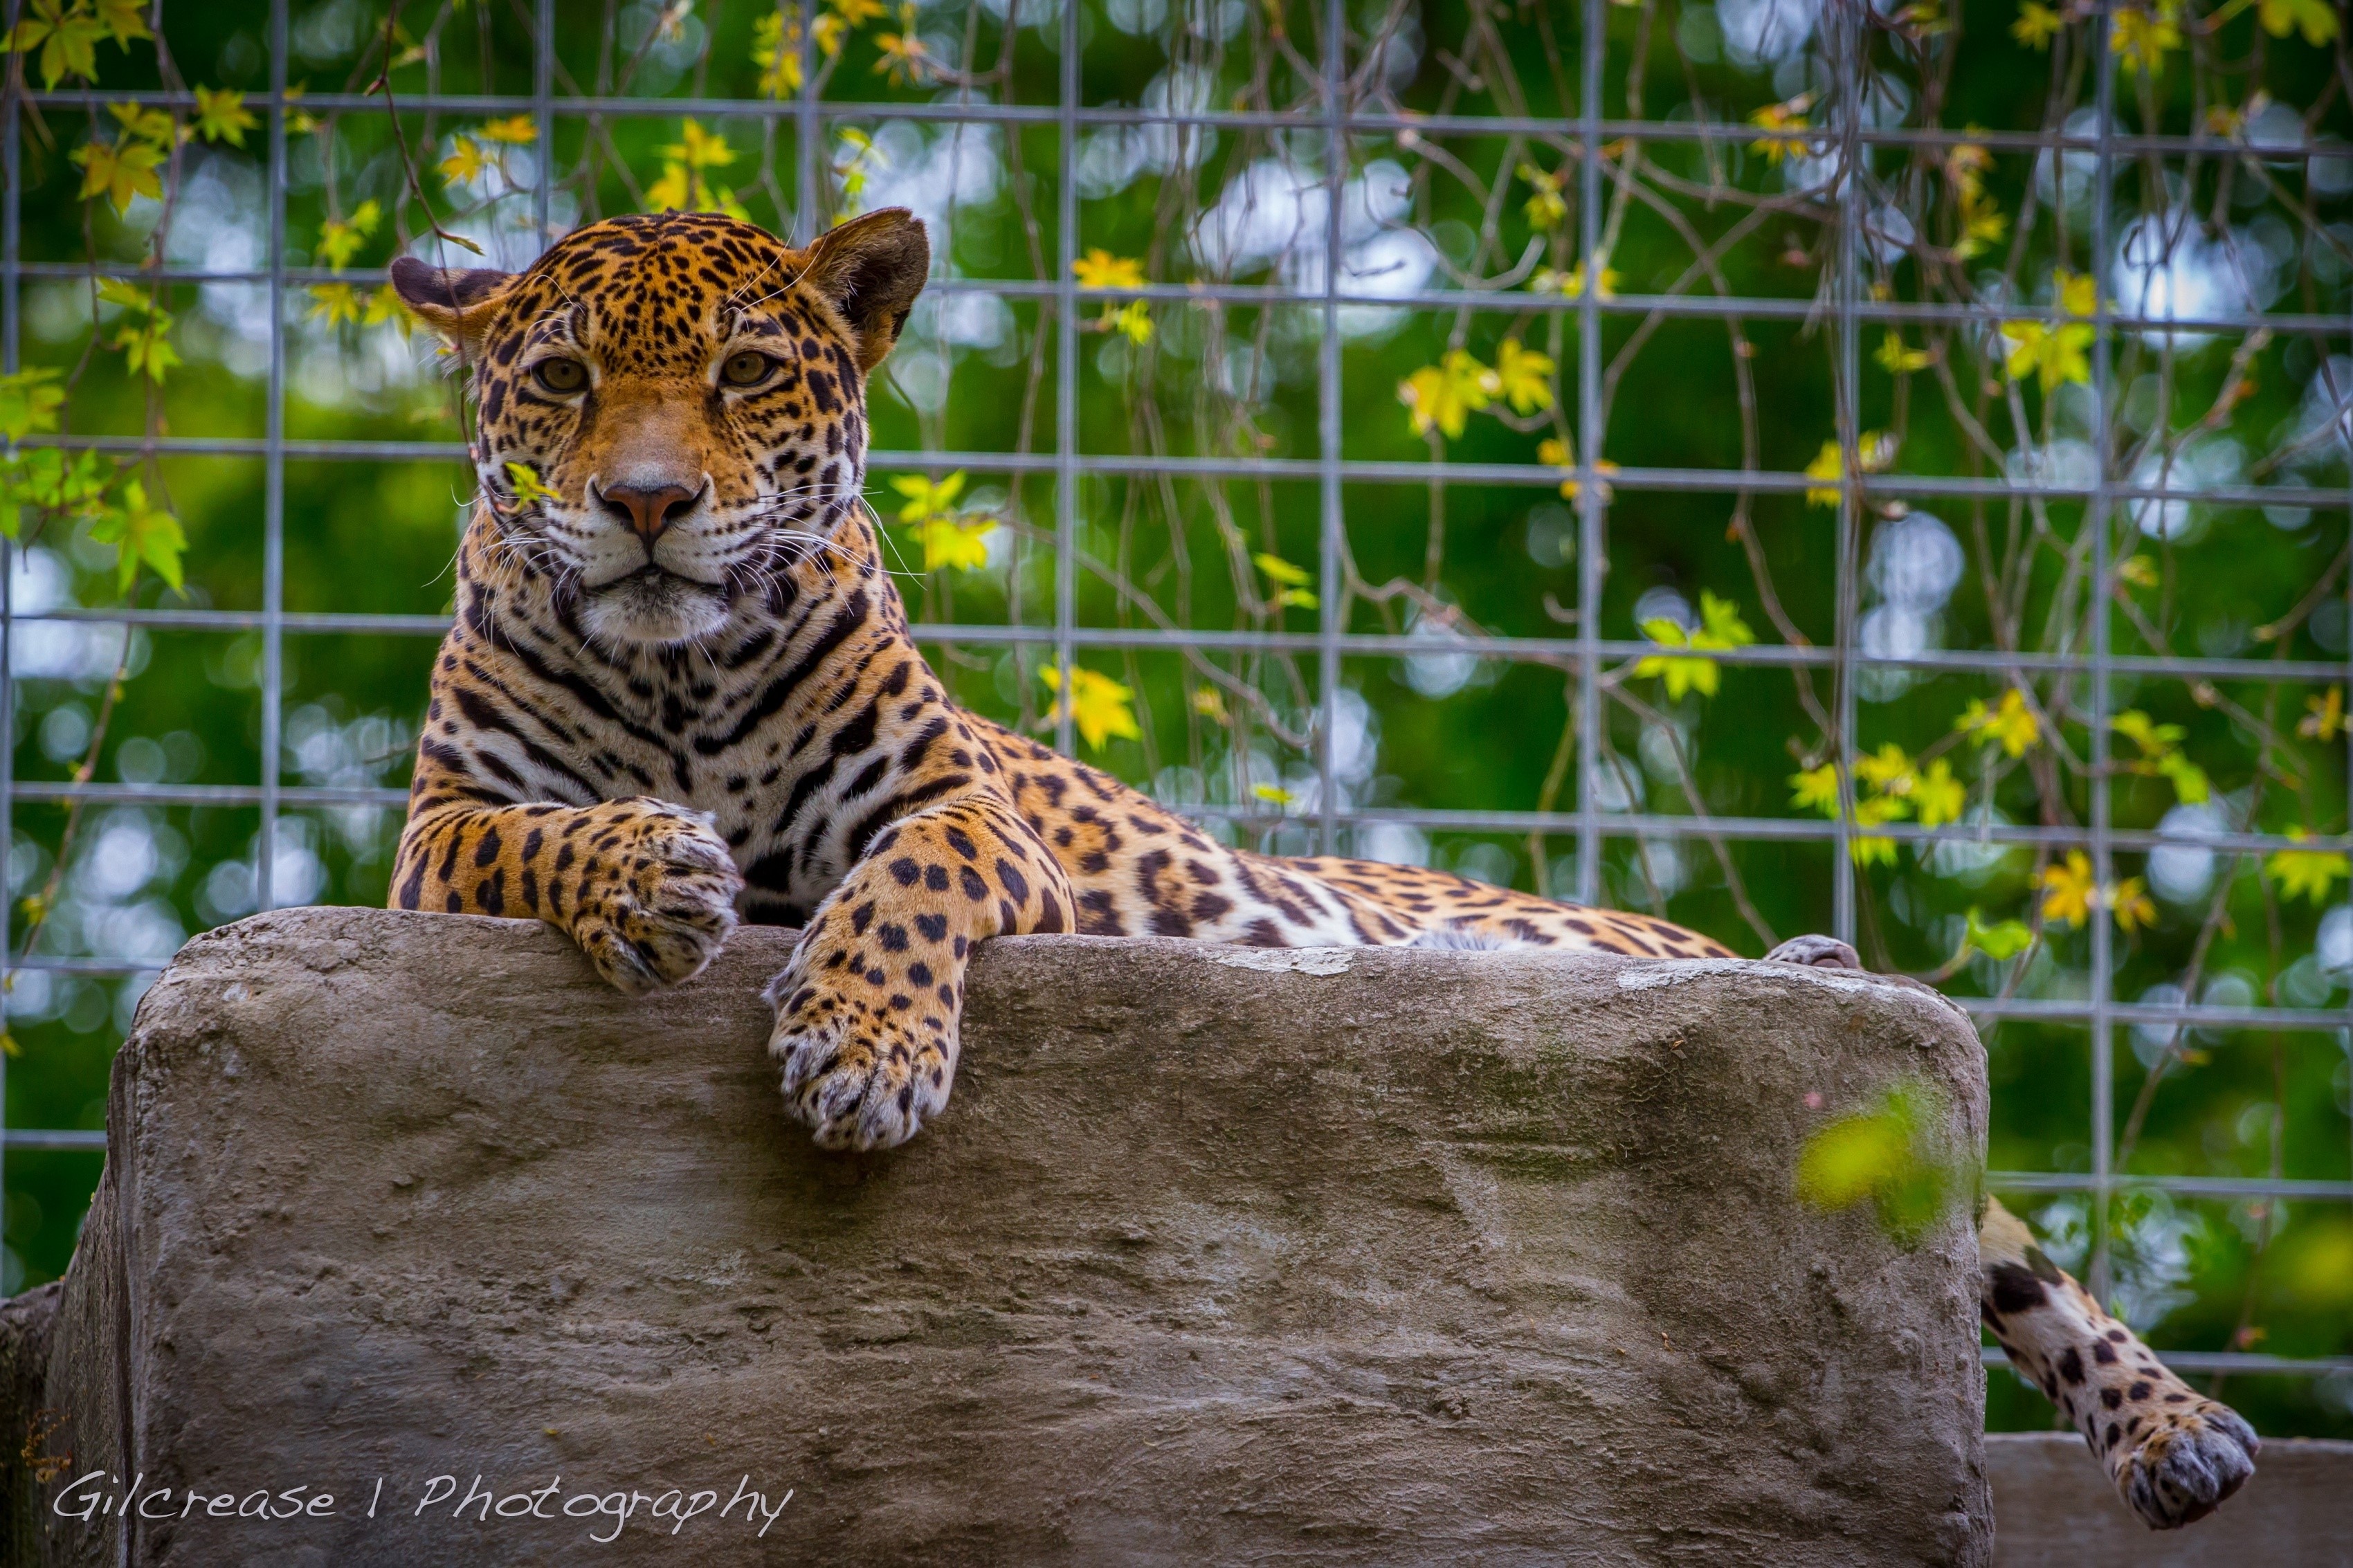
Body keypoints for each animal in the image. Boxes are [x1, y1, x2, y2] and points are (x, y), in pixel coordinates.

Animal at [386, 207, 2258, 1532]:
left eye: (744, 377)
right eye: (560, 382)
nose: (643, 504)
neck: (678, 685)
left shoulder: (967, 809)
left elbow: (901, 885)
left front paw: (858, 1051)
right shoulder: (429, 841)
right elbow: (534, 831)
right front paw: (653, 872)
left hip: (1573, 955)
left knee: (1987, 1229)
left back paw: (2172, 1430)